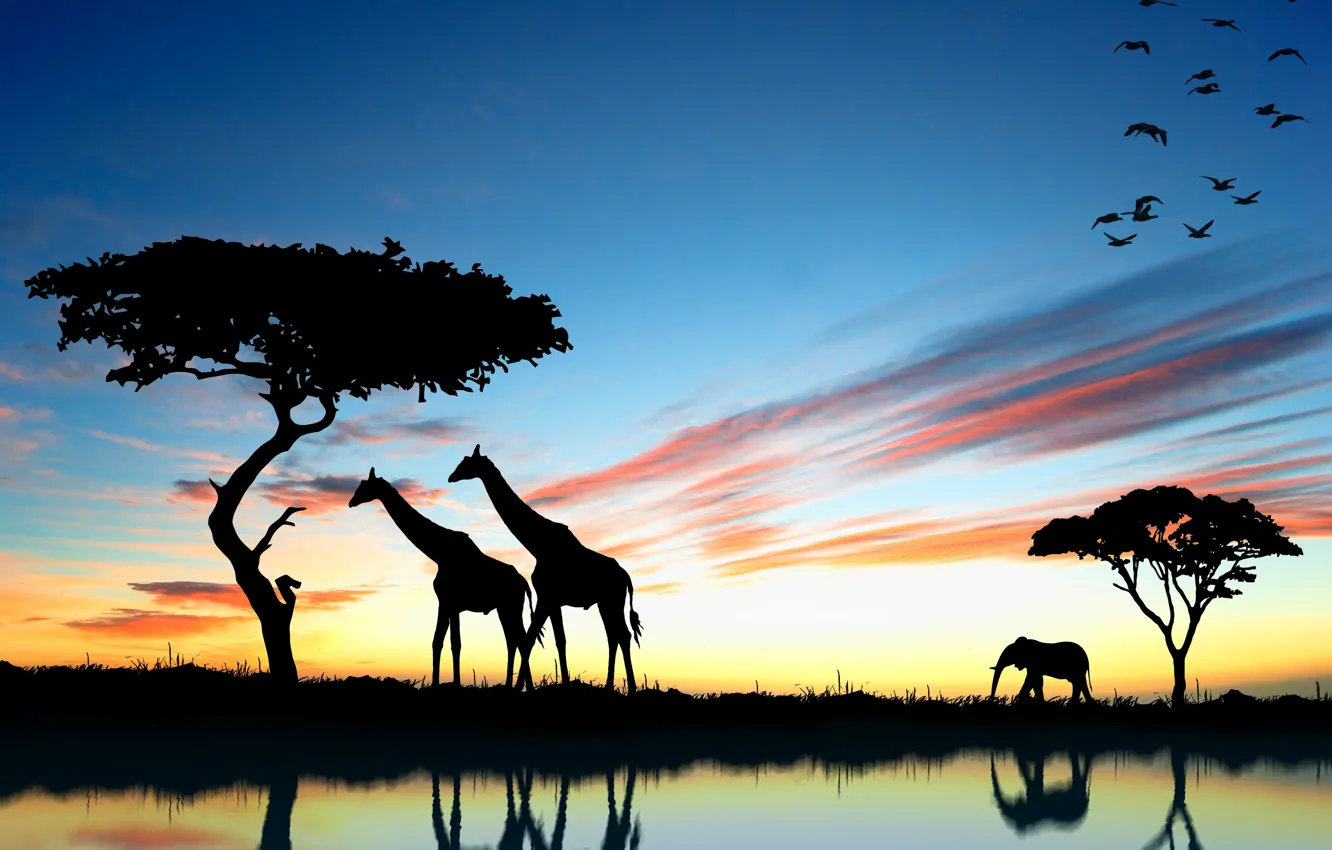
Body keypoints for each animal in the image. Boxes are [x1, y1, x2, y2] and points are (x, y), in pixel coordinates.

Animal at [349, 468, 534, 688]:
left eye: (364, 486)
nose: (351, 502)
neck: (439, 553)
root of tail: (523, 583)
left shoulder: (450, 602)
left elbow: (453, 643)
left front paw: (454, 684)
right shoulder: (447, 604)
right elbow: (439, 642)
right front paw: (439, 684)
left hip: (511, 606)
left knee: (520, 640)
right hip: (504, 608)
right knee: (514, 641)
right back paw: (512, 686)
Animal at [448, 445, 643, 692]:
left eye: (467, 463)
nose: (451, 477)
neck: (537, 544)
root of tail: (625, 576)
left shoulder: (546, 597)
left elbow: (531, 638)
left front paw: (520, 688)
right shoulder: (552, 599)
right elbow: (558, 640)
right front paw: (562, 684)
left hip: (613, 600)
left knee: (622, 635)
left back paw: (631, 689)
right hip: (605, 602)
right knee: (614, 636)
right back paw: (610, 687)